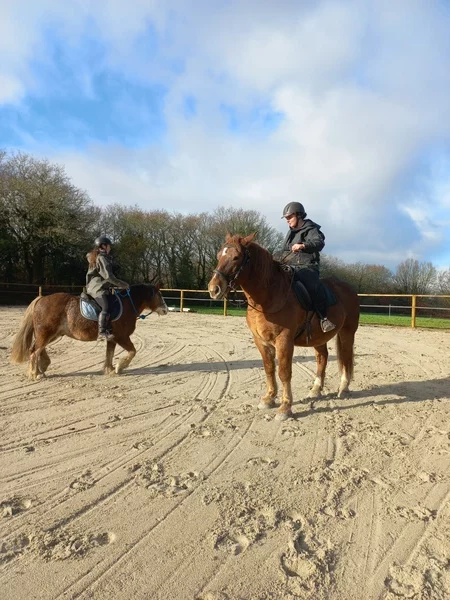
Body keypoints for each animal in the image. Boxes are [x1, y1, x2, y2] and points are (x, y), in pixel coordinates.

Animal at [11, 284, 169, 380]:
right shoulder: (122, 337)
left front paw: (110, 370)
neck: (127, 305)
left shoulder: (112, 338)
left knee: (38, 349)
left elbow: (109, 354)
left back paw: (42, 368)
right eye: (159, 295)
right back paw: (35, 373)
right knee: (34, 352)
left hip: (52, 334)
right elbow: (132, 352)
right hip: (46, 333)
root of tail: (42, 299)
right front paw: (119, 367)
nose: (166, 310)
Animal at [209, 232, 360, 420]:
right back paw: (316, 389)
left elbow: (284, 372)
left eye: (236, 257)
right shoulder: (261, 341)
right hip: (319, 337)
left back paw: (344, 388)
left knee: (345, 358)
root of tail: (349, 288)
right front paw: (269, 398)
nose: (213, 289)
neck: (269, 297)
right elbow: (269, 368)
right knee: (322, 358)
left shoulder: (284, 340)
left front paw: (285, 407)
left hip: (347, 333)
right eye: (218, 256)